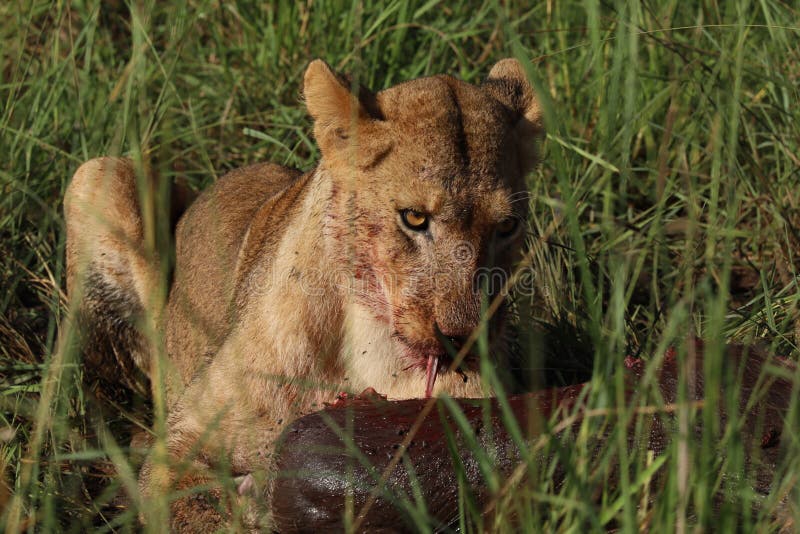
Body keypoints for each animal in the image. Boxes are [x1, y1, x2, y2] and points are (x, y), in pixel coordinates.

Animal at [64, 58, 544, 532]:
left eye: (507, 226)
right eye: (414, 217)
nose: (463, 339)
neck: (369, 339)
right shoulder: (182, 444)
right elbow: (203, 511)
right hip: (100, 174)